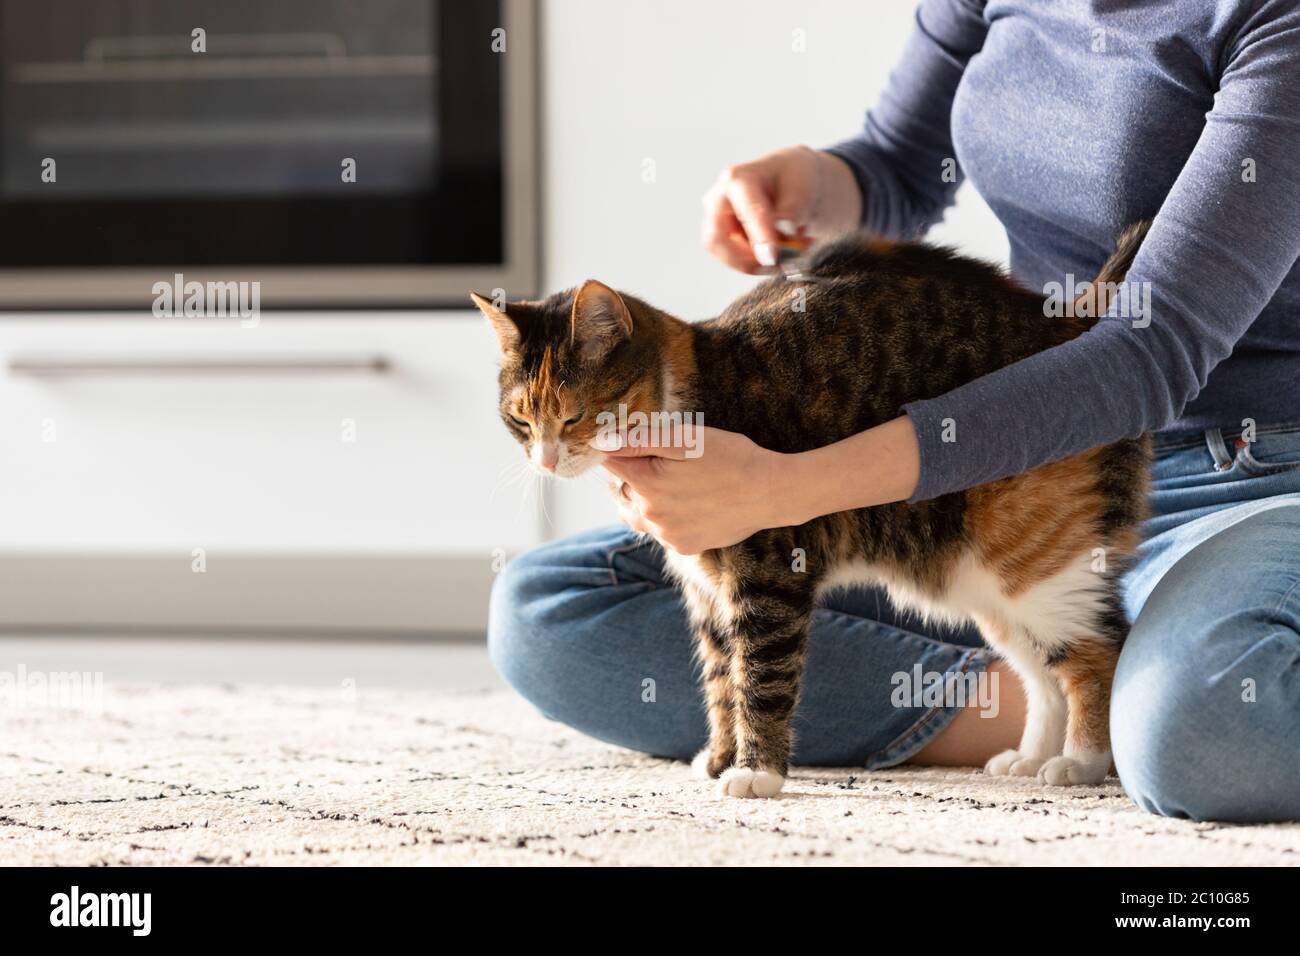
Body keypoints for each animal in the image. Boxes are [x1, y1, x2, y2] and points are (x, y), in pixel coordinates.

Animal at [475, 226, 1149, 801]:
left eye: (574, 415)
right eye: (521, 419)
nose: (546, 459)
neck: (688, 393)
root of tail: (1072, 322)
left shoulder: (767, 570)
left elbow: (760, 677)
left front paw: (756, 774)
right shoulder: (707, 588)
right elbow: (721, 677)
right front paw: (721, 758)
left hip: (1031, 558)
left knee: (1099, 651)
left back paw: (1081, 761)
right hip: (982, 584)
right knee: (1036, 668)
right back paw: (1031, 757)